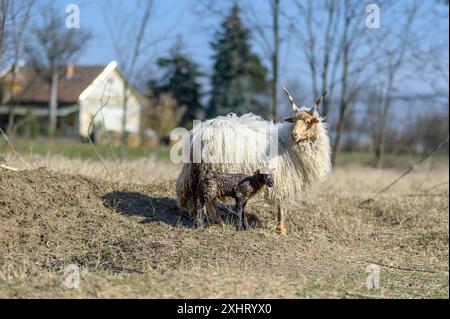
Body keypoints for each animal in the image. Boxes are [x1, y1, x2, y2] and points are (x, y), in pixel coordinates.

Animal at [176, 87, 330, 235]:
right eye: (294, 120)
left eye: (308, 122)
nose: (294, 135)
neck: (286, 142)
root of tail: (198, 133)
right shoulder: (282, 178)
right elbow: (281, 204)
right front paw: (281, 229)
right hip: (213, 169)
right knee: (210, 199)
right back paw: (220, 222)